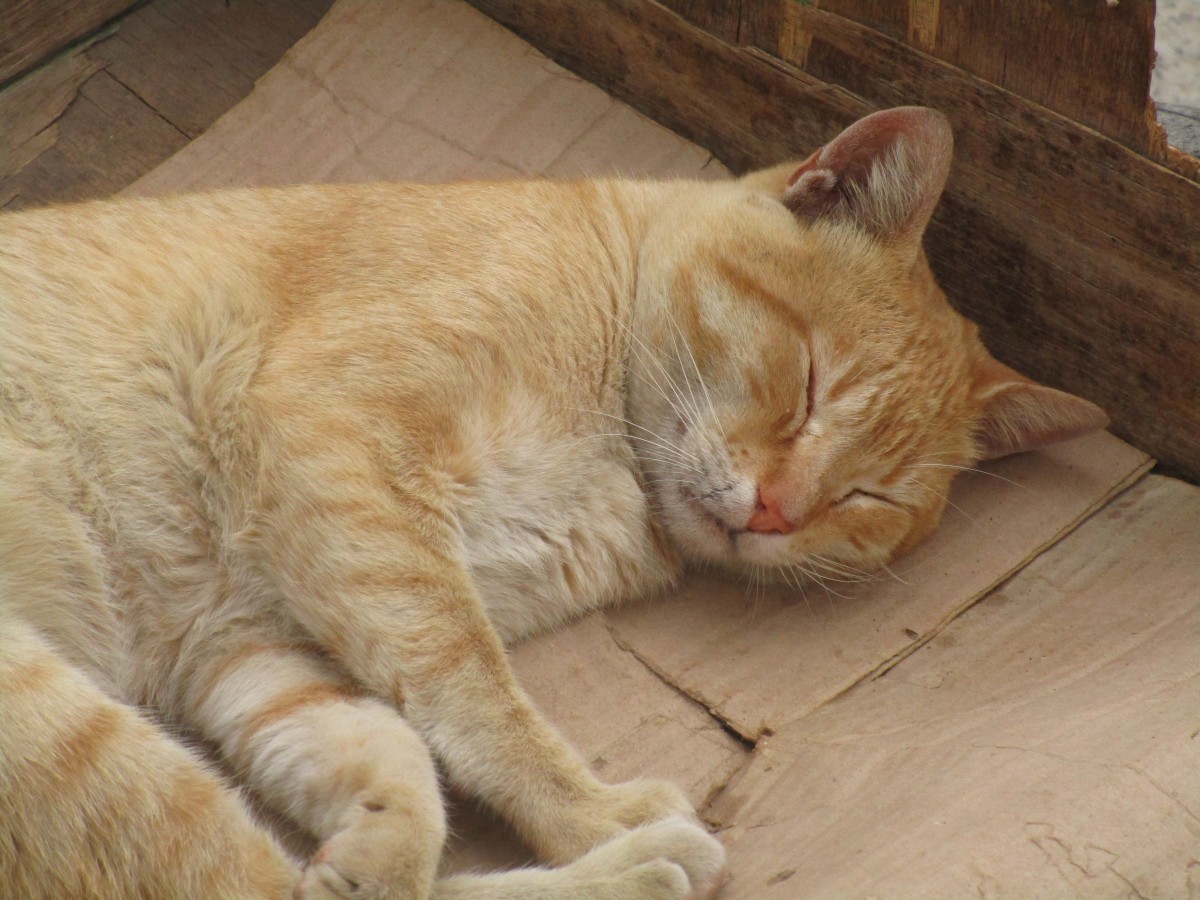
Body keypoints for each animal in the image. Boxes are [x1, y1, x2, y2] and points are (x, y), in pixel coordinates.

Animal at [0, 109, 1104, 897]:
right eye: (808, 384)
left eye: (871, 497)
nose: (776, 514)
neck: (619, 466)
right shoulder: (336, 450)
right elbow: (476, 694)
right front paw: (593, 814)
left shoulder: (243, 641)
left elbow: (387, 744)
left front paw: (383, 840)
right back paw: (641, 862)